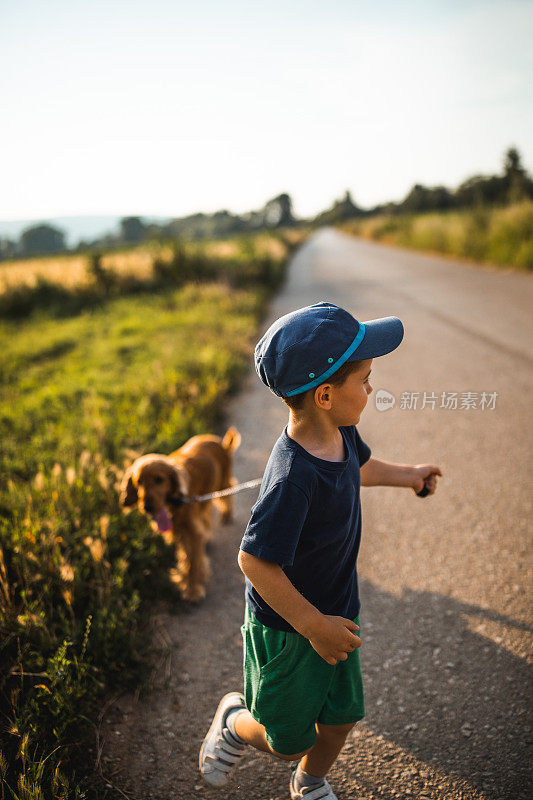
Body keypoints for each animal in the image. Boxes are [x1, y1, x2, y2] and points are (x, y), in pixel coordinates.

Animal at [120, 424, 241, 600]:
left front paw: (193, 591)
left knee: (229, 490)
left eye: (159, 479)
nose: (147, 507)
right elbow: (185, 556)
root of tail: (219, 441)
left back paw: (227, 515)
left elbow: (193, 564)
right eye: (139, 482)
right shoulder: (179, 530)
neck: (174, 502)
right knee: (206, 516)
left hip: (222, 484)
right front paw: (184, 578)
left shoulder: (192, 531)